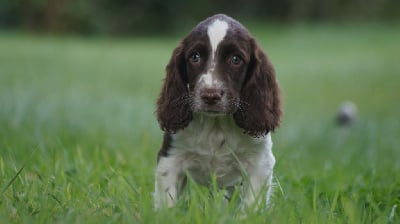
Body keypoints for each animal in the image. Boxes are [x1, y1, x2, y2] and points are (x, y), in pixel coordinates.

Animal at [153, 14, 282, 210]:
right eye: (195, 57)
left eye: (236, 59)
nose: (210, 95)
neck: (216, 126)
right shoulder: (171, 158)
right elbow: (168, 202)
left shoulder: (260, 163)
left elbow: (251, 204)